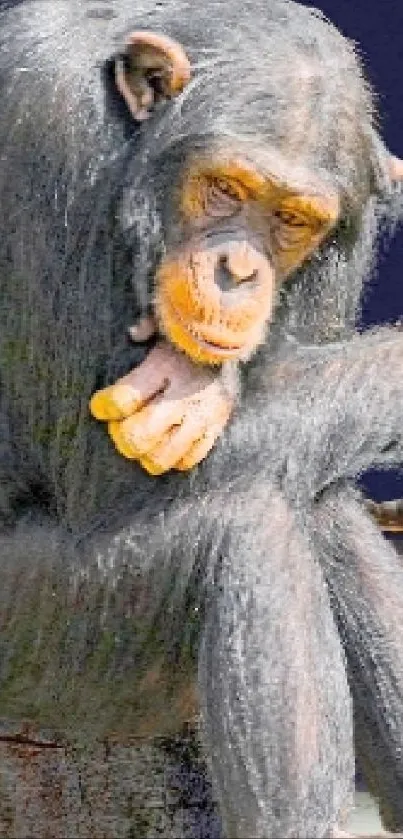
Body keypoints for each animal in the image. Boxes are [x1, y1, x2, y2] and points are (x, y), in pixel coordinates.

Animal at [1, 0, 403, 836]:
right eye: (223, 187)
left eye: (291, 220)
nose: (236, 269)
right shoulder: (46, 136)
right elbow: (101, 477)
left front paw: (200, 387)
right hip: (46, 650)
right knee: (246, 531)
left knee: (319, 502)